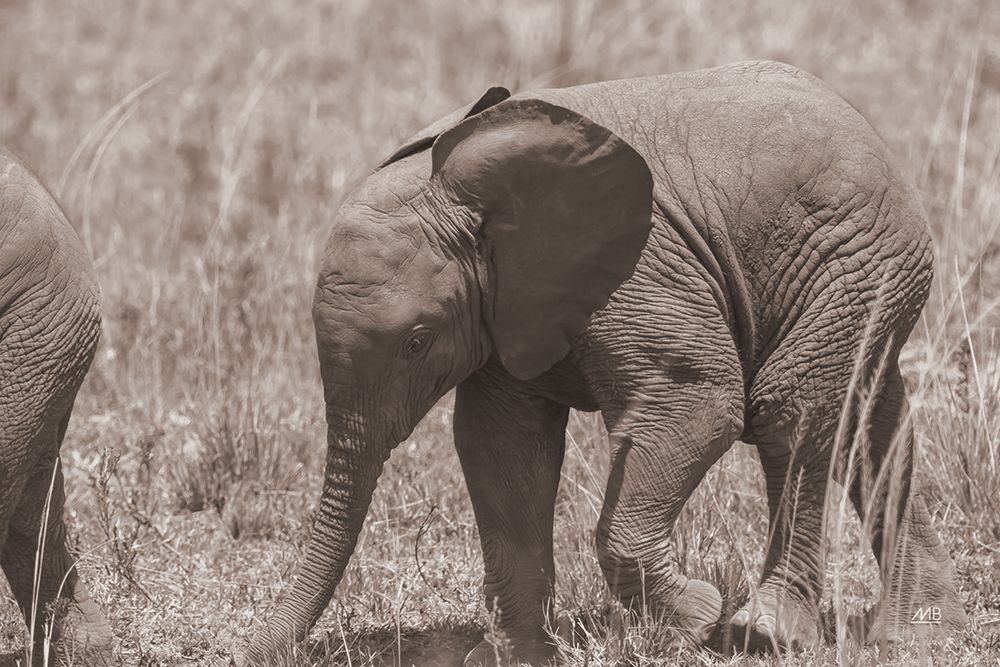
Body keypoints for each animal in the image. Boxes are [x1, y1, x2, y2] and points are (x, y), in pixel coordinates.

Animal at [244, 60, 968, 664]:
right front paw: (514, 655)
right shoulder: (508, 304)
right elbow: (502, 447)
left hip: (853, 259)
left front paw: (698, 617)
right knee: (873, 421)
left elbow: (698, 402)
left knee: (792, 413)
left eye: (417, 341)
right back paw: (916, 635)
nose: (249, 650)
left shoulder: (637, 270)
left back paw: (767, 632)